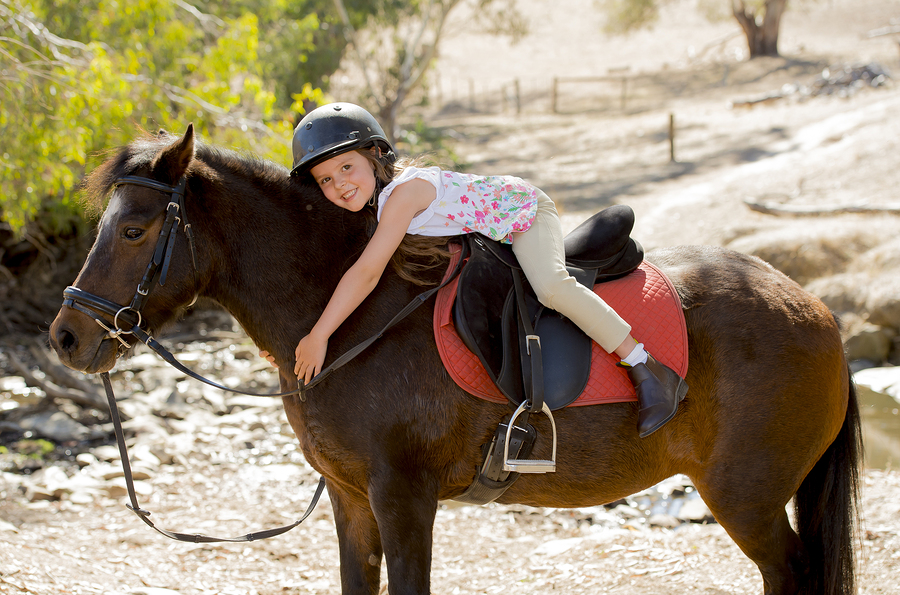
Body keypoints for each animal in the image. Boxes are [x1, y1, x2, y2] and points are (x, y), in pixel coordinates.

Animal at [47, 127, 856, 595]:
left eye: (135, 229)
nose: (66, 337)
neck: (357, 318)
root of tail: (815, 309)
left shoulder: (405, 496)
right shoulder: (352, 499)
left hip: (747, 499)